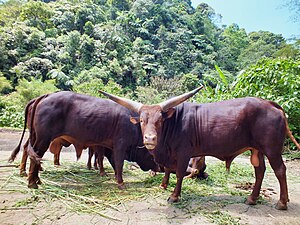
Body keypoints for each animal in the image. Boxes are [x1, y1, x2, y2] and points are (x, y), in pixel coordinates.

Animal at [101, 87, 300, 210]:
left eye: (159, 121)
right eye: (142, 120)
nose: (150, 139)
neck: (173, 123)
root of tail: (270, 104)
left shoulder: (183, 153)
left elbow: (179, 174)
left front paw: (174, 196)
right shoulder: (170, 155)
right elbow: (167, 170)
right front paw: (163, 184)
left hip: (272, 149)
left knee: (280, 170)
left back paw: (282, 202)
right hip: (257, 149)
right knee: (260, 171)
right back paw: (252, 198)